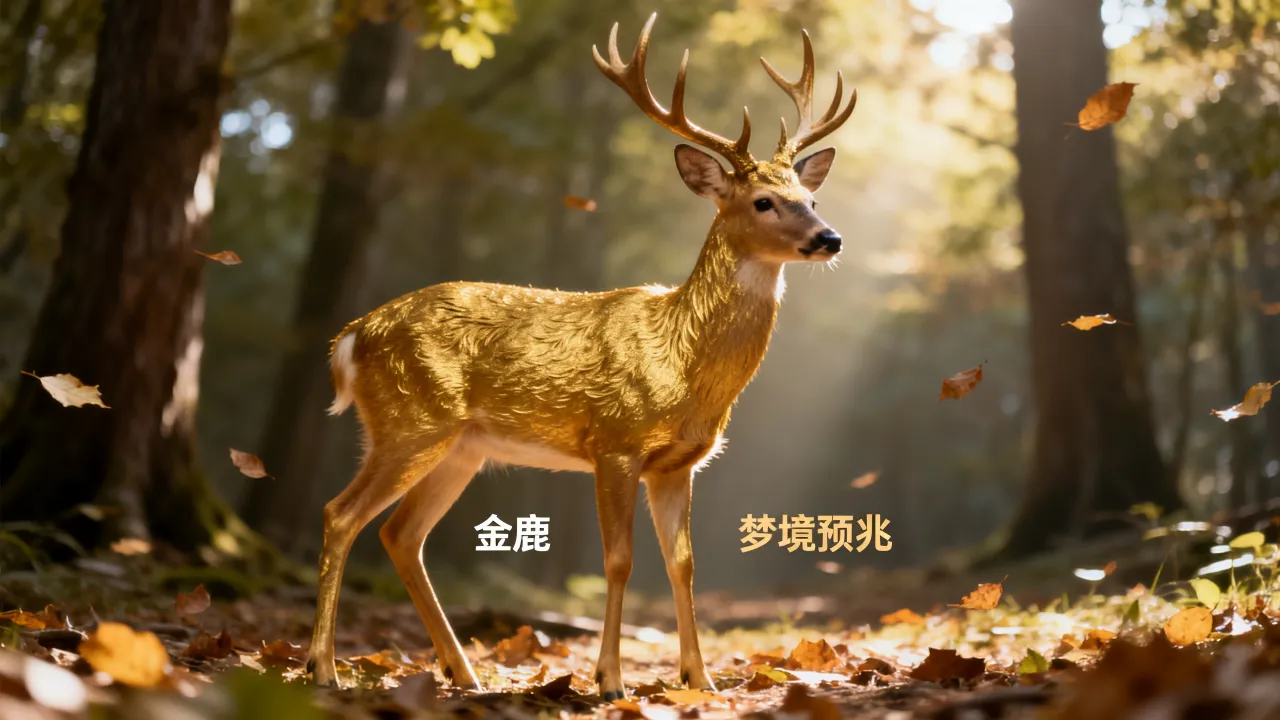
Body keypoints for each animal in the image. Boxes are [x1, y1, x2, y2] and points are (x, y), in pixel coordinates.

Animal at [305, 11, 856, 698]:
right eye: (763, 201)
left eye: (810, 198)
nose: (829, 237)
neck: (681, 360)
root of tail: (350, 336)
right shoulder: (614, 442)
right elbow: (618, 560)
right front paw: (609, 680)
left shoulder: (678, 464)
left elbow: (683, 565)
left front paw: (700, 679)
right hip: (410, 421)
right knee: (341, 514)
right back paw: (323, 668)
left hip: (461, 447)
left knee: (400, 534)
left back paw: (464, 673)